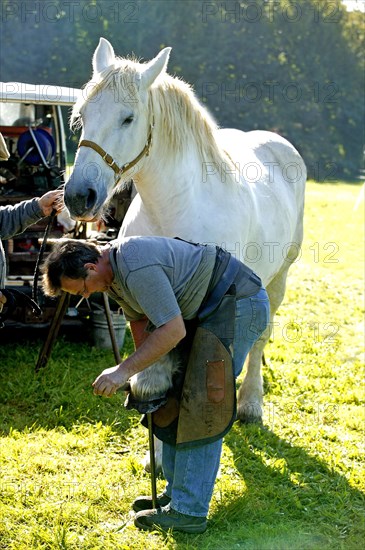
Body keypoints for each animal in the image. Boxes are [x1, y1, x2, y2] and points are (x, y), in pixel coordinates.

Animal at [64, 37, 304, 426]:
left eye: (128, 118)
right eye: (82, 115)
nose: (77, 196)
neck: (175, 207)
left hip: (279, 277)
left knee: (261, 338)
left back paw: (251, 402)